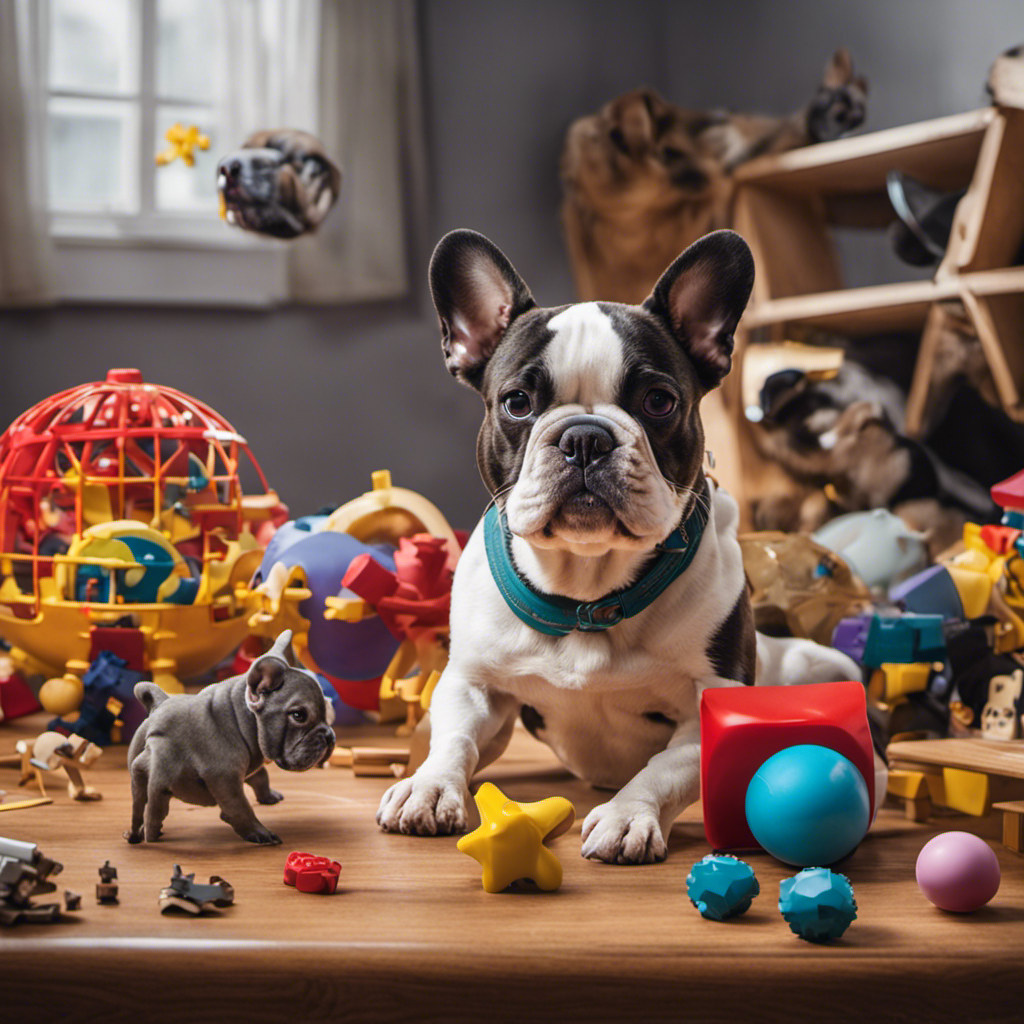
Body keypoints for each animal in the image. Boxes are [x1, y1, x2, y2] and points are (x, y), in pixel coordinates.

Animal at [376, 228, 880, 860]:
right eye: (517, 402)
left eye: (659, 401)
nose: (584, 437)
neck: (587, 590)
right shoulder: (472, 686)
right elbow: (455, 740)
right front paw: (429, 787)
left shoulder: (712, 701)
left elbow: (664, 769)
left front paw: (625, 816)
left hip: (822, 663)